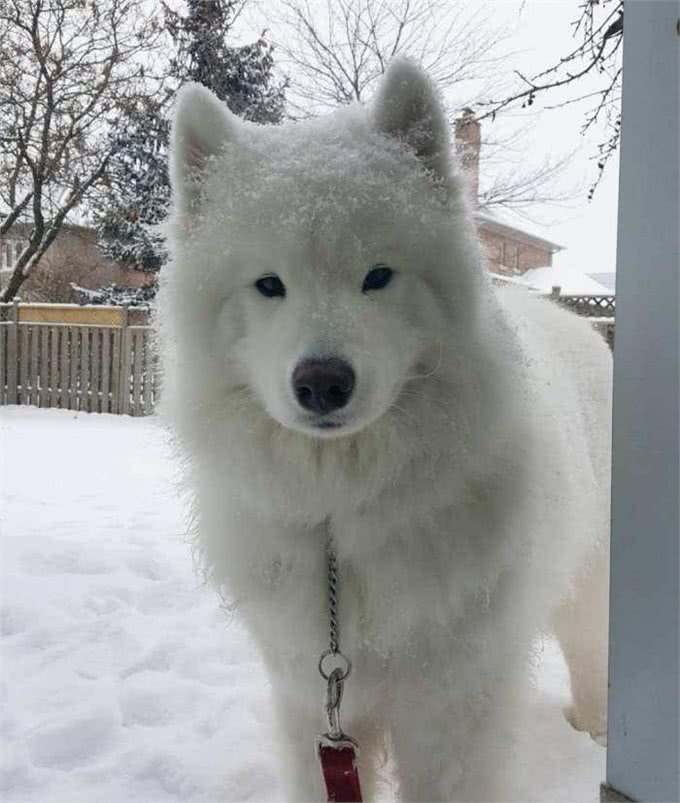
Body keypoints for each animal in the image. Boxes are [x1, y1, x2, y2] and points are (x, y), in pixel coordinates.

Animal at [159, 59, 612, 800]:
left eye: (378, 276)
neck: (341, 516)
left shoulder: (452, 709)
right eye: (268, 284)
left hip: (586, 586)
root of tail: (578, 321)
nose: (321, 382)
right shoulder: (314, 703)